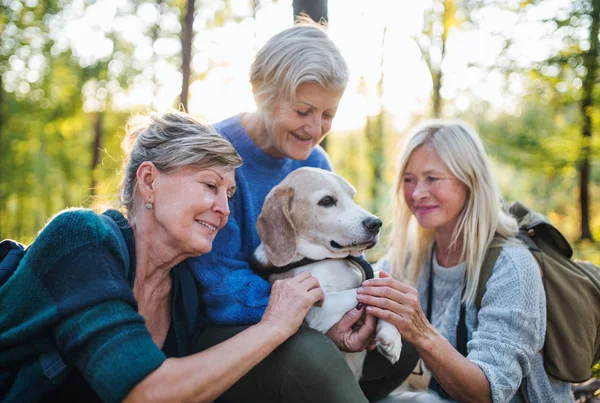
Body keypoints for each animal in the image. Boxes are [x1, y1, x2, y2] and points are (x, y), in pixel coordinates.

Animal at [251, 167, 400, 382]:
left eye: (352, 197)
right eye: (327, 200)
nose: (375, 223)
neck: (326, 259)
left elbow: (378, 283)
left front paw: (392, 336)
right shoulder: (318, 309)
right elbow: (361, 291)